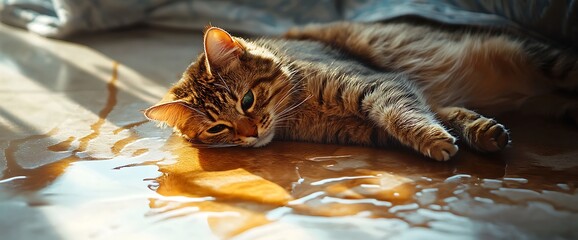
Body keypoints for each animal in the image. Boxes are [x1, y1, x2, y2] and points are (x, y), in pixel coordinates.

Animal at [144, 21, 576, 160]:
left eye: (247, 100)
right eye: (217, 128)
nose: (251, 134)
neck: (299, 109)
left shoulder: (378, 85)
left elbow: (401, 114)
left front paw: (437, 140)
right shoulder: (372, 124)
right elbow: (442, 117)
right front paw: (480, 133)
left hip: (548, 61)